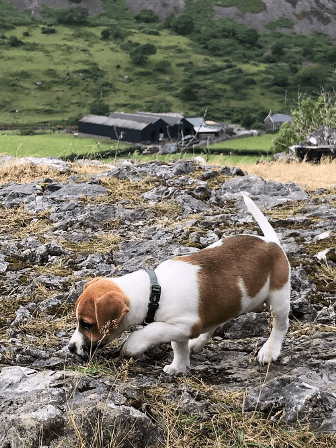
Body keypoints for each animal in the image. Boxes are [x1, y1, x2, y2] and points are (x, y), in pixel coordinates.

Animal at [67, 195, 288, 374]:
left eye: (86, 324)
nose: (70, 347)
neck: (155, 291)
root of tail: (272, 243)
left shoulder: (185, 324)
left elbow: (149, 332)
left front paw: (132, 346)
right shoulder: (179, 329)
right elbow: (178, 347)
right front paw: (179, 367)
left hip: (278, 299)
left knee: (280, 325)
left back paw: (270, 350)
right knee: (216, 321)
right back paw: (198, 343)